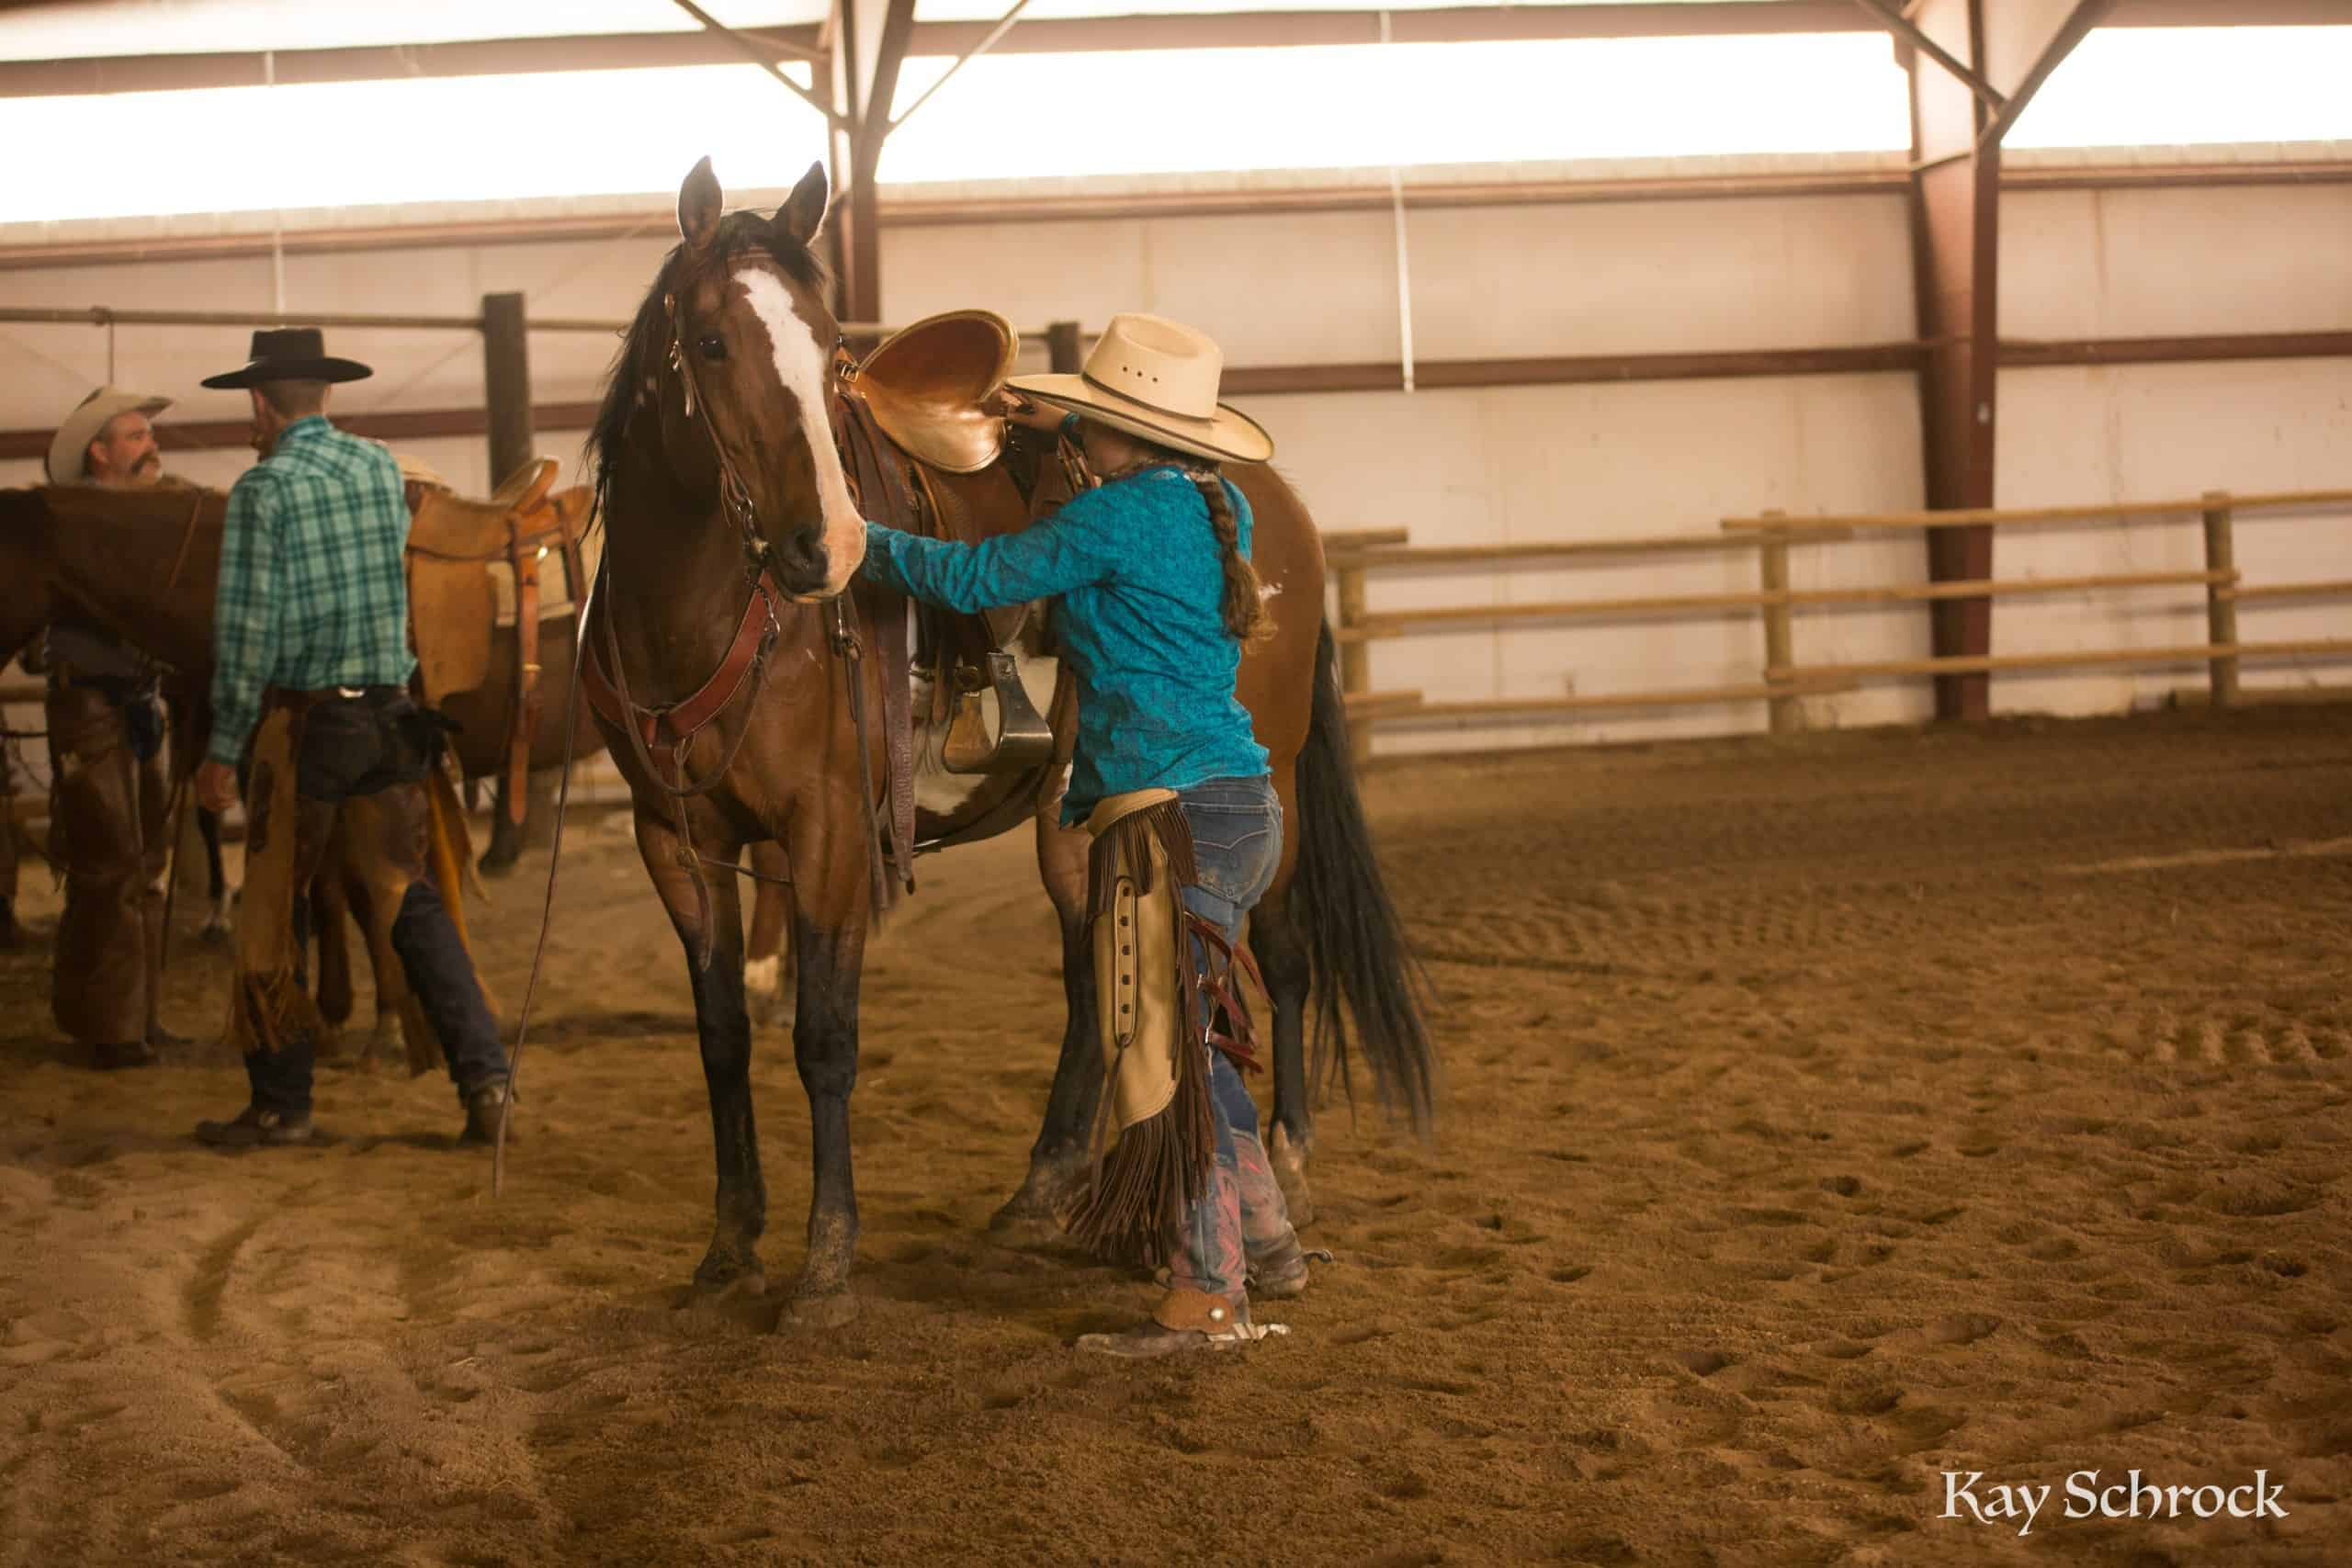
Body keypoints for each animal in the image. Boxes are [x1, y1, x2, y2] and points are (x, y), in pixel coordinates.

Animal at [577, 154, 1433, 1326]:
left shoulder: (830, 834)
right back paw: (1045, 1187)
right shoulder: (676, 842)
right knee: (1094, 977)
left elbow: (824, 1040)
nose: (825, 546)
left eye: (832, 350)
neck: (702, 618)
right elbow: (720, 1041)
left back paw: (1291, 1157)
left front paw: (826, 1267)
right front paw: (728, 1249)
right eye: (711, 343)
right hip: (1079, 816)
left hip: (1274, 784)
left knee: (1283, 954)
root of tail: (1272, 503)